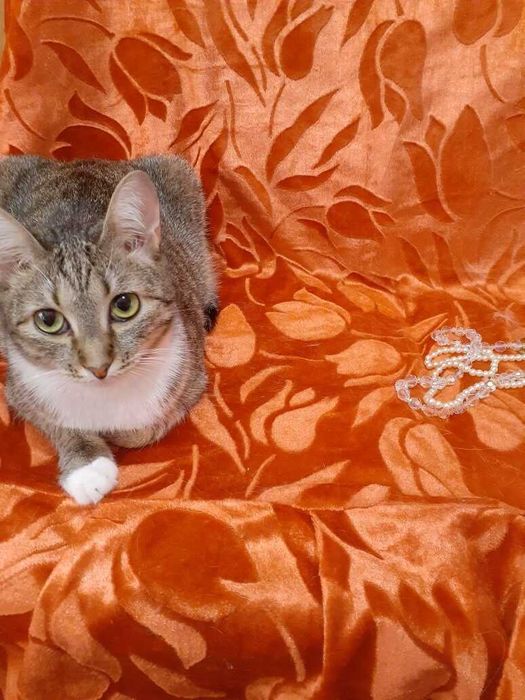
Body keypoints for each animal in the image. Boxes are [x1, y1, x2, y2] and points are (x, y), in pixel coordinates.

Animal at [0, 154, 218, 505]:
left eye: (124, 305)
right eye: (48, 320)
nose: (98, 366)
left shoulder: (190, 379)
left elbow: (143, 429)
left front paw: (116, 436)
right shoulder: (21, 391)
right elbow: (56, 420)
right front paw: (87, 466)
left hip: (178, 176)